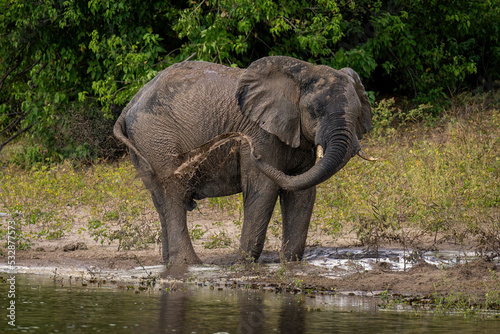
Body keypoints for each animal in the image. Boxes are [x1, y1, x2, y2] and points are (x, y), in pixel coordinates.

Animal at [113, 56, 374, 266]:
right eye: (314, 112)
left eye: (356, 112)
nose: (240, 140)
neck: (301, 73)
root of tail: (130, 104)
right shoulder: (261, 133)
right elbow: (264, 189)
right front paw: (243, 265)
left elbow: (302, 193)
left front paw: (290, 264)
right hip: (156, 138)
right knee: (174, 192)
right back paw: (190, 265)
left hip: (145, 145)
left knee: (160, 200)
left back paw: (169, 263)